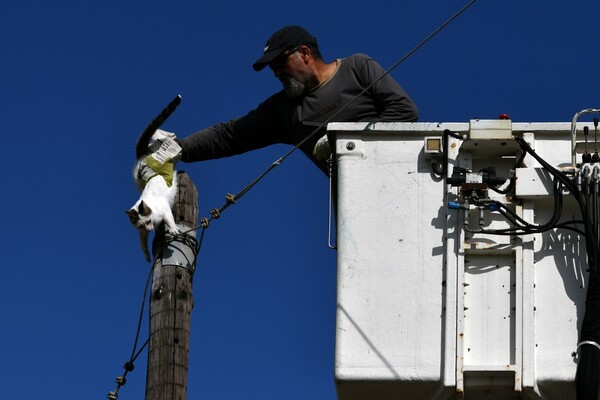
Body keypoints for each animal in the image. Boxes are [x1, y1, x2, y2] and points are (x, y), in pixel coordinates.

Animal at [126, 126, 180, 260]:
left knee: (159, 135)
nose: (149, 229)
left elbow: (169, 219)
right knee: (156, 133)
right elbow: (142, 243)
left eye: (148, 222)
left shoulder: (165, 209)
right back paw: (169, 135)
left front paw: (172, 229)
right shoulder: (142, 232)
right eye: (141, 226)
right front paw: (147, 255)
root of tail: (142, 156)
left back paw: (170, 135)